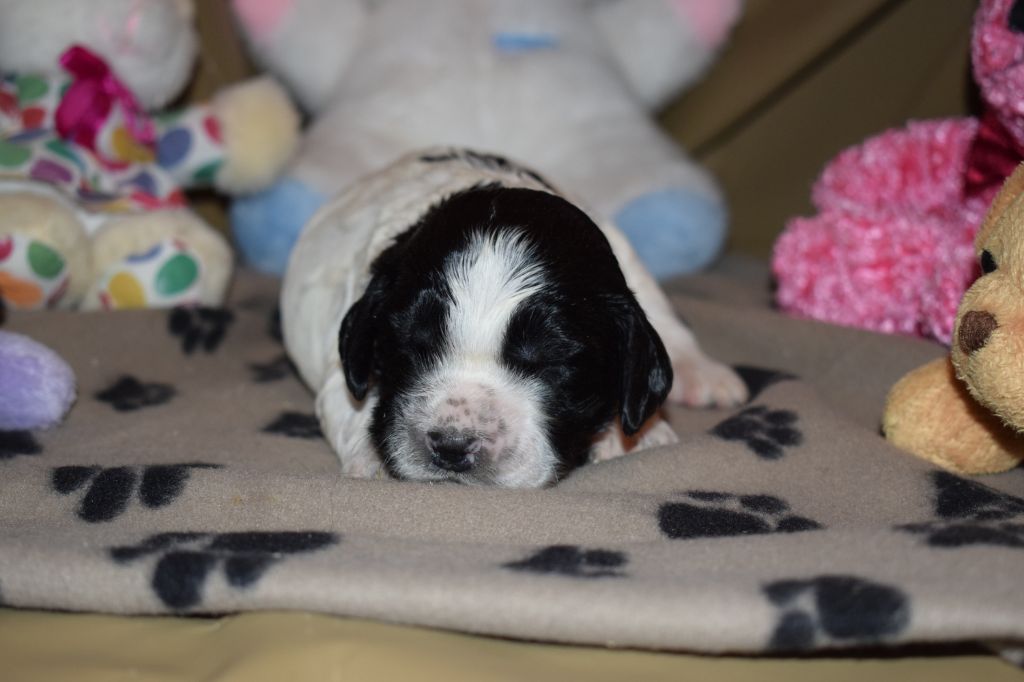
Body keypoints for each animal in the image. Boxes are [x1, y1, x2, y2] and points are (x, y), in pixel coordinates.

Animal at [280, 148, 745, 485]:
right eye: (408, 346)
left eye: (552, 363)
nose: (452, 447)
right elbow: (349, 400)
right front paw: (372, 456)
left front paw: (632, 435)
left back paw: (704, 375)